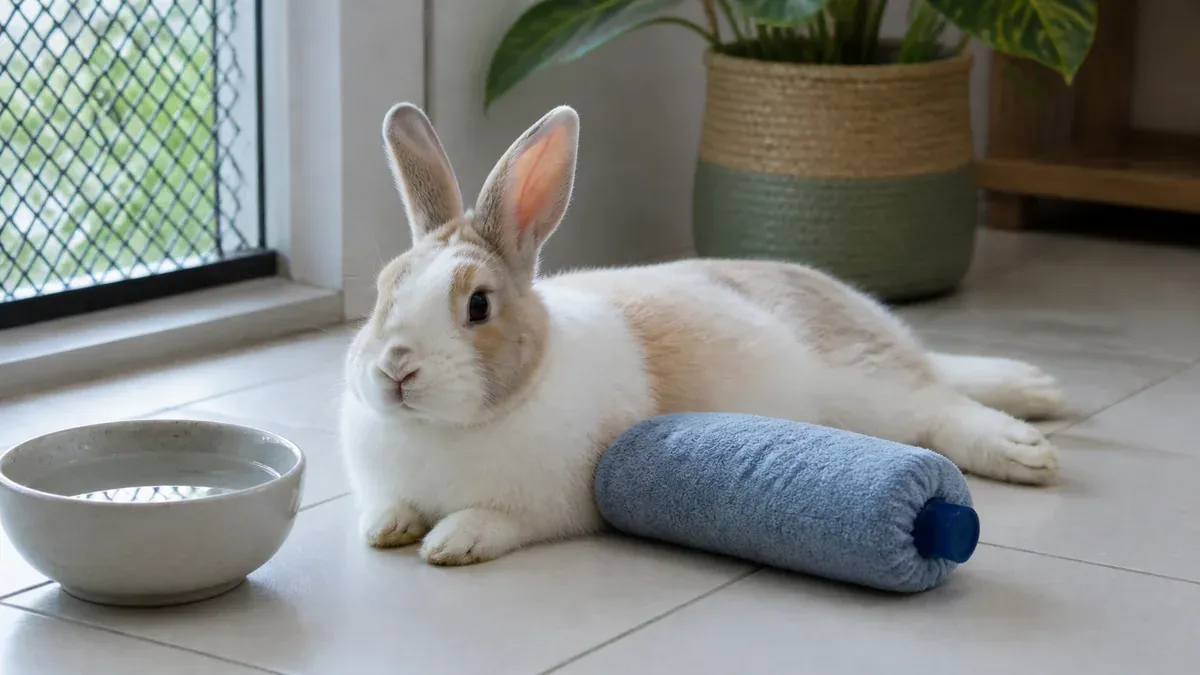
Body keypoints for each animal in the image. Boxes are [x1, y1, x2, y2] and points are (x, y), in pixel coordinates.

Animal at [340, 103, 1067, 566]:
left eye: (479, 306)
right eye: (382, 291)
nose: (396, 369)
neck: (444, 430)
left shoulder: (547, 503)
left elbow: (494, 521)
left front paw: (449, 543)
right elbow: (389, 508)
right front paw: (386, 528)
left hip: (866, 388)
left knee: (938, 404)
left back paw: (1024, 448)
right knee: (944, 377)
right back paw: (1039, 389)